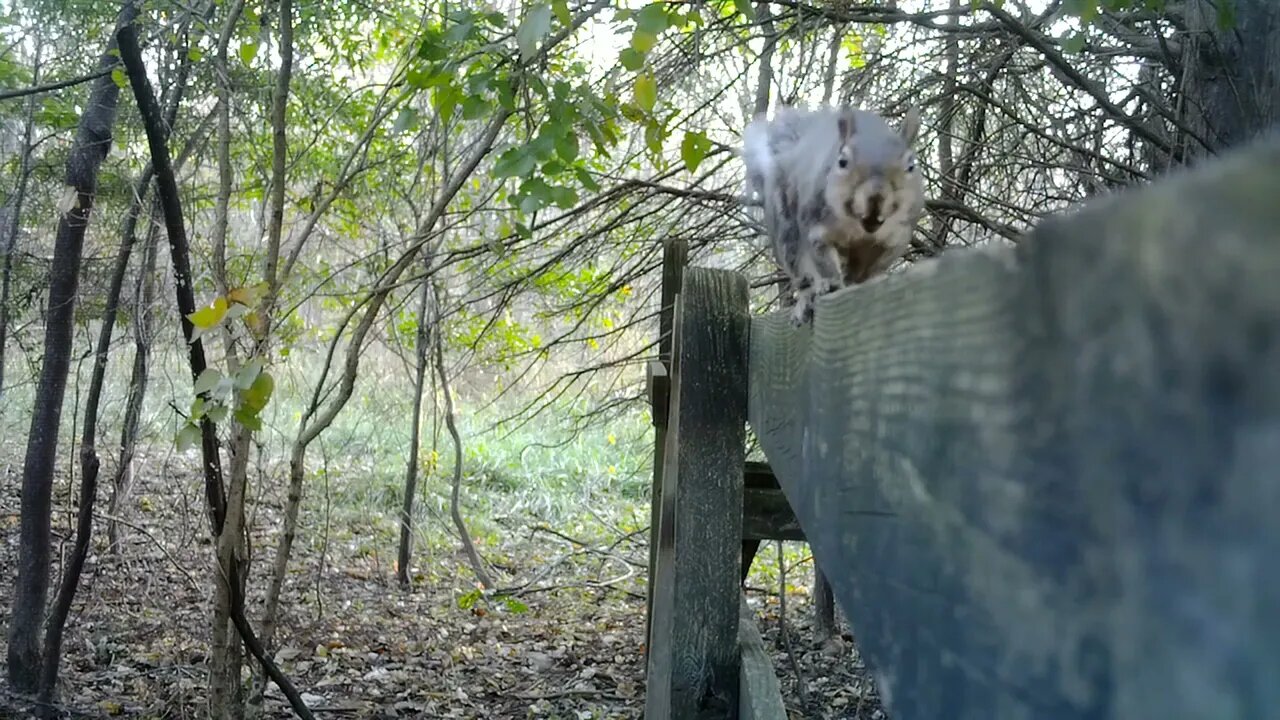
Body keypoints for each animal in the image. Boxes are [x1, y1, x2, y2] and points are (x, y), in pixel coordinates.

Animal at [742, 104, 925, 326]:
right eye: (842, 162)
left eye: (911, 166)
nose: (876, 197)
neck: (861, 229)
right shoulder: (816, 230)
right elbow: (823, 260)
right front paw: (831, 282)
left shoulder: (895, 239)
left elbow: (878, 264)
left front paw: (874, 279)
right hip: (786, 235)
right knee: (801, 273)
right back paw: (807, 297)